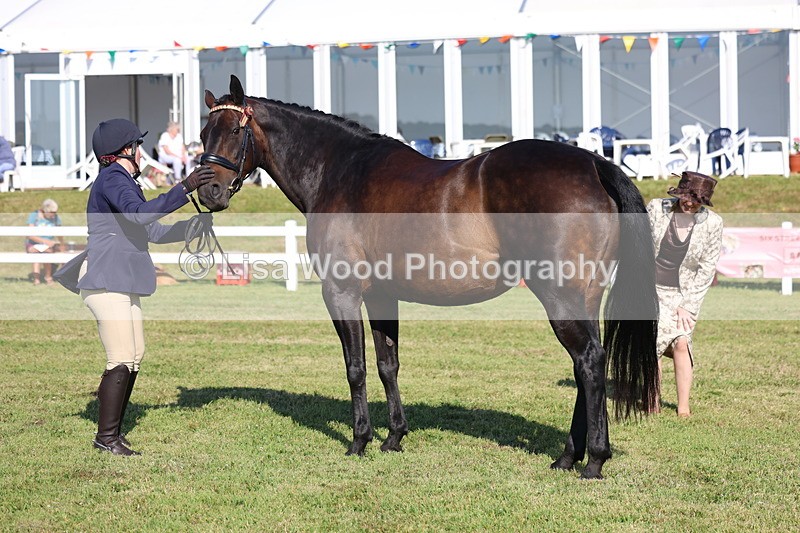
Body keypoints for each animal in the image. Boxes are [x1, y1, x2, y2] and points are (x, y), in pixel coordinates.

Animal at [197, 75, 659, 479]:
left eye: (234, 130)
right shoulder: (382, 295)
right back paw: (567, 457)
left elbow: (355, 367)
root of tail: (592, 163)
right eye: (203, 134)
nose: (209, 191)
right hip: (584, 296)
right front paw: (394, 437)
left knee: (589, 361)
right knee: (587, 365)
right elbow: (387, 364)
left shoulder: (342, 292)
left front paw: (359, 441)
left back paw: (593, 460)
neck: (338, 170)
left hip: (559, 296)